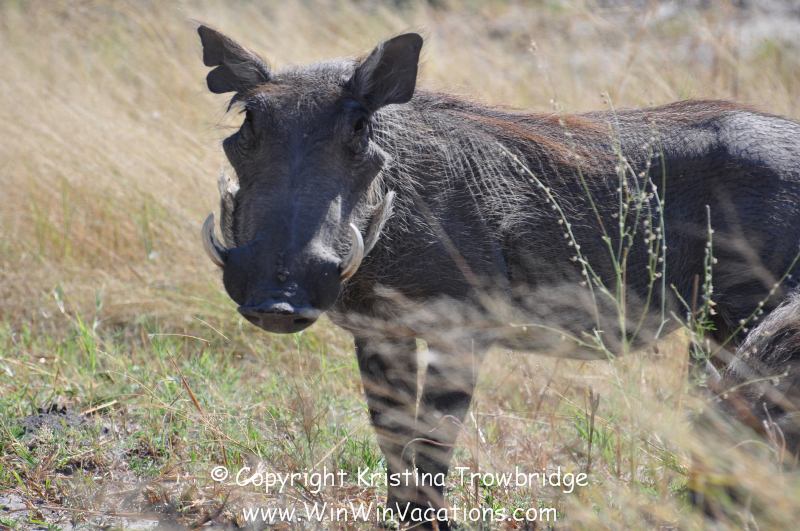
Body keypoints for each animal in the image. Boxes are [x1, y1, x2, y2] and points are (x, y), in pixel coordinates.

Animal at [197, 25, 800, 528]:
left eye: (360, 125)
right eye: (248, 123)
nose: (278, 301)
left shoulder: (459, 329)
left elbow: (431, 447)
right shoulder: (380, 332)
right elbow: (392, 440)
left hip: (742, 323)